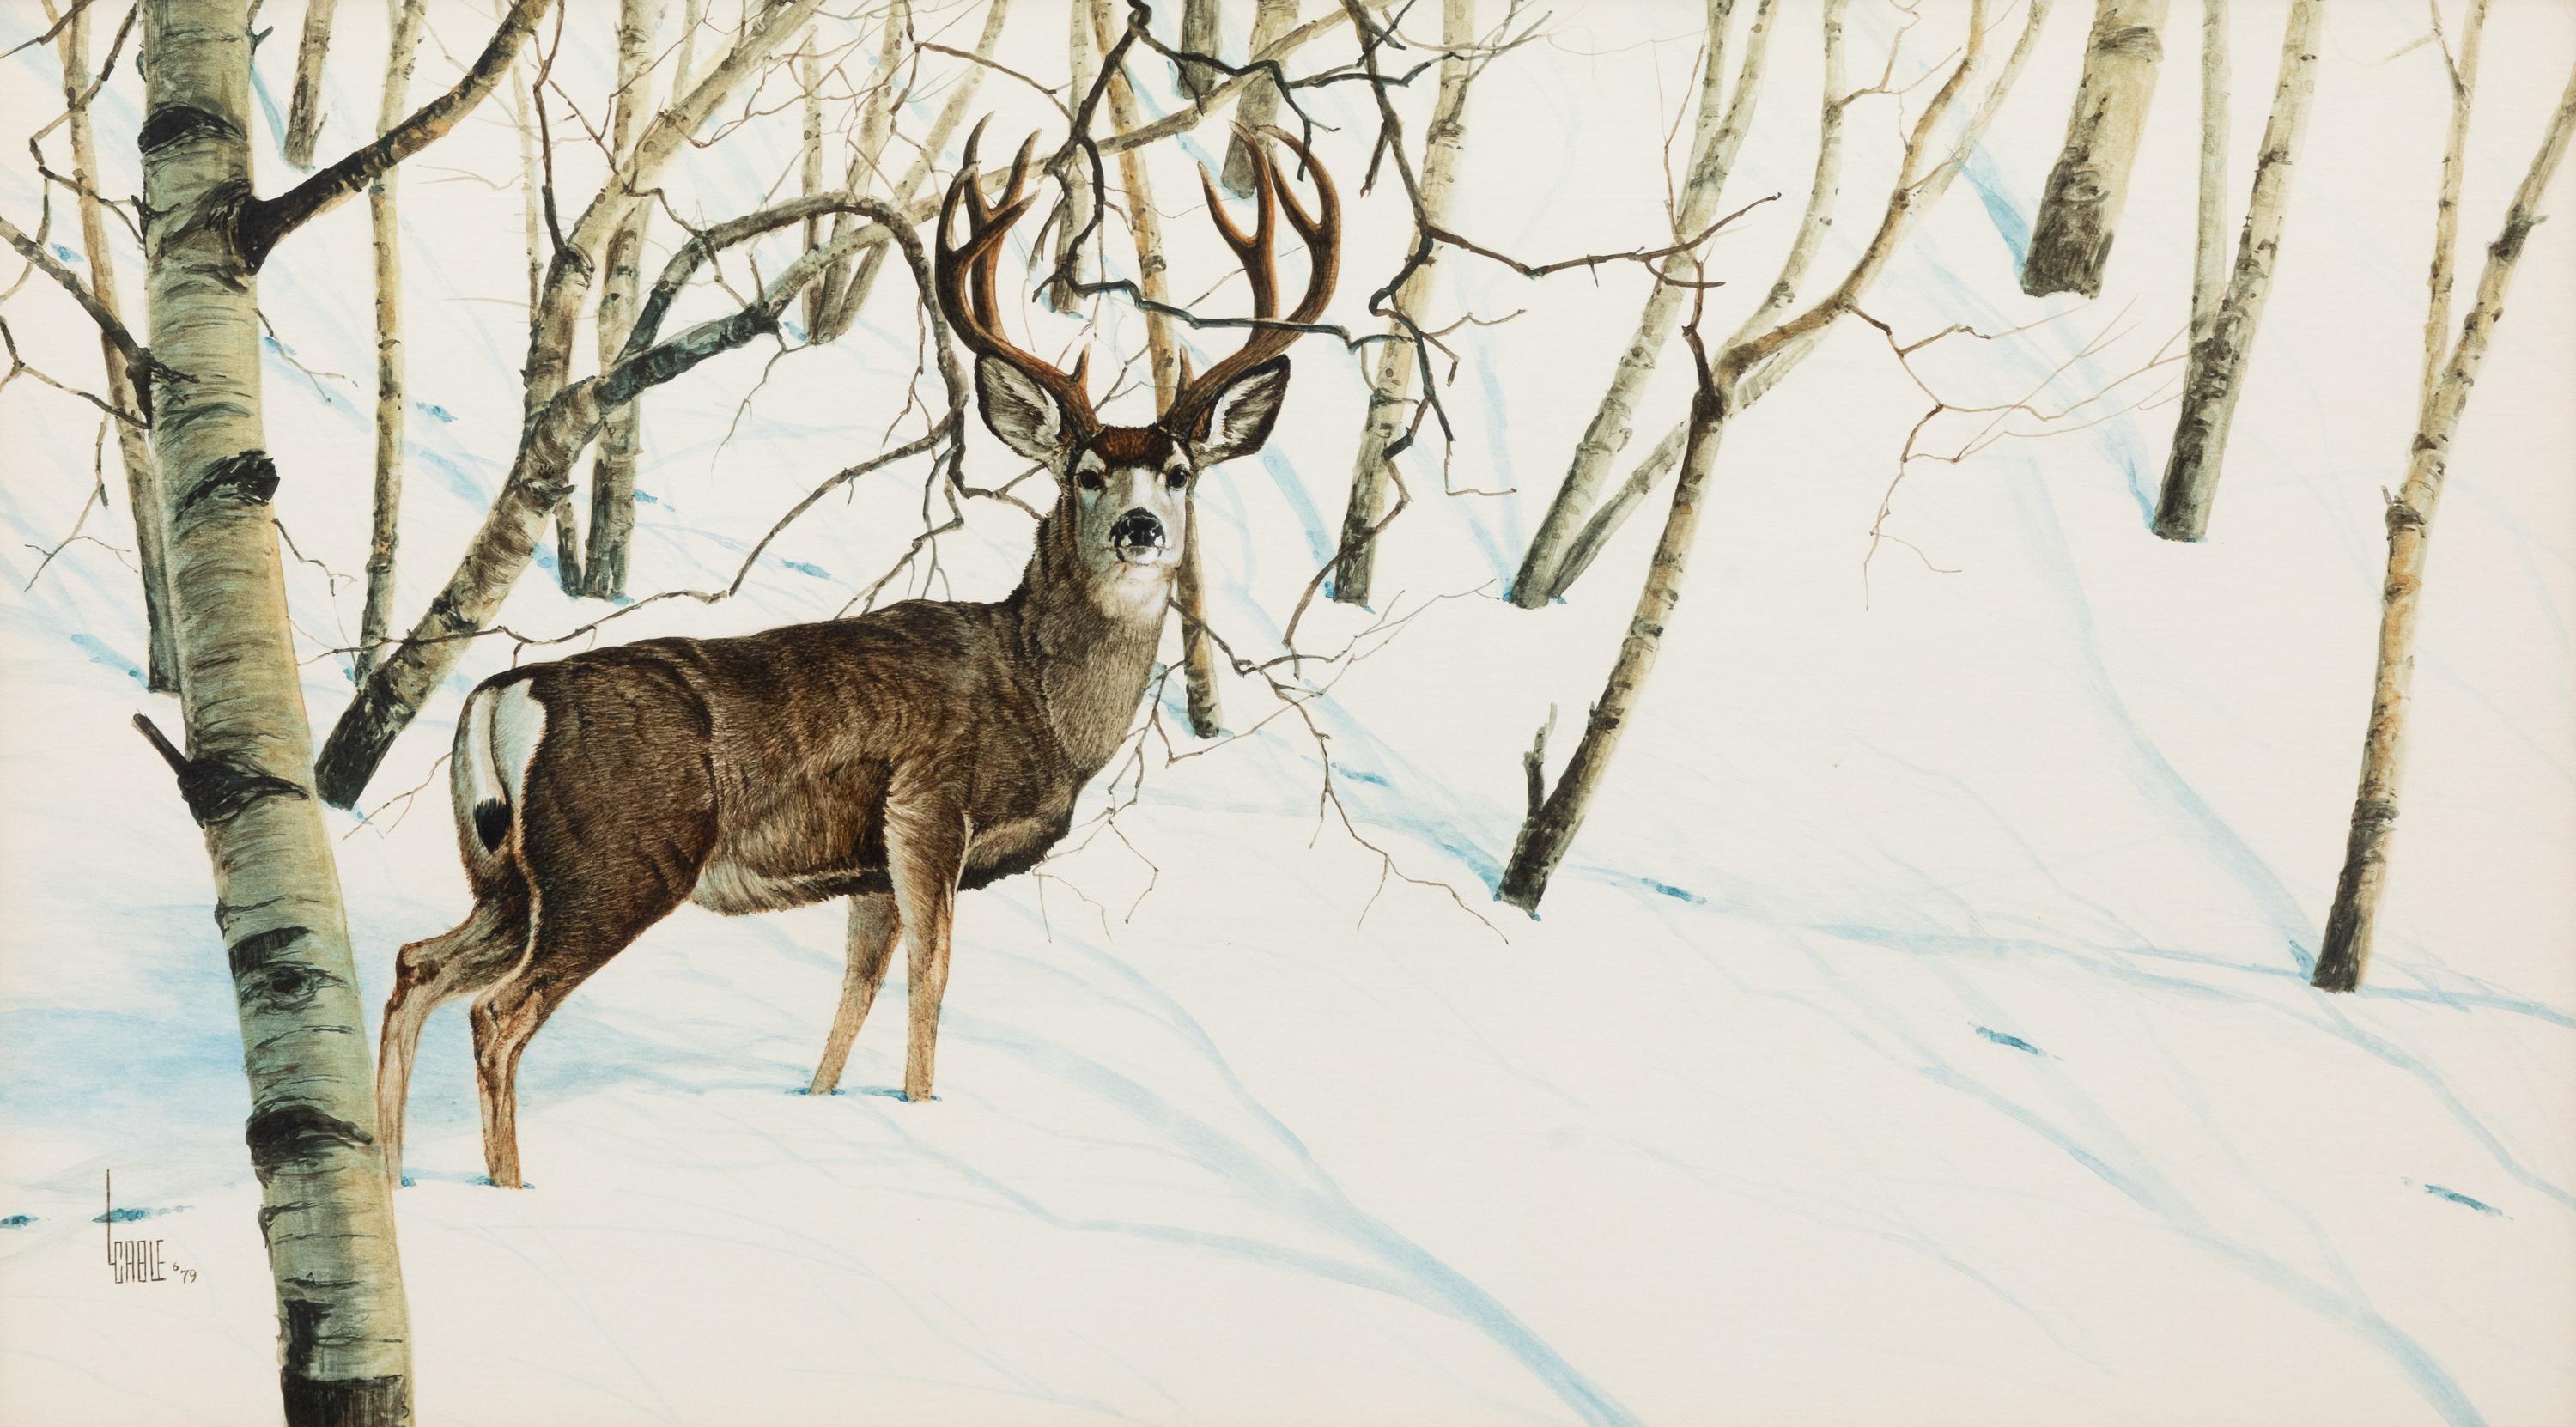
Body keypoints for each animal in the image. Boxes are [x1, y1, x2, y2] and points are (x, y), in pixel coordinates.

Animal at [374, 125, 1339, 1188]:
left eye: (1176, 472)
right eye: (1086, 473)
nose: (1139, 529)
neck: (1042, 703)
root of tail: (502, 696)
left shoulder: (868, 866)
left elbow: (857, 989)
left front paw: (825, 1102)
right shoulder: (928, 807)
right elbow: (931, 975)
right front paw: (922, 1109)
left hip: (508, 874)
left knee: (415, 967)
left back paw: (391, 1170)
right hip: (615, 860)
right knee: (496, 1012)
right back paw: (510, 1186)